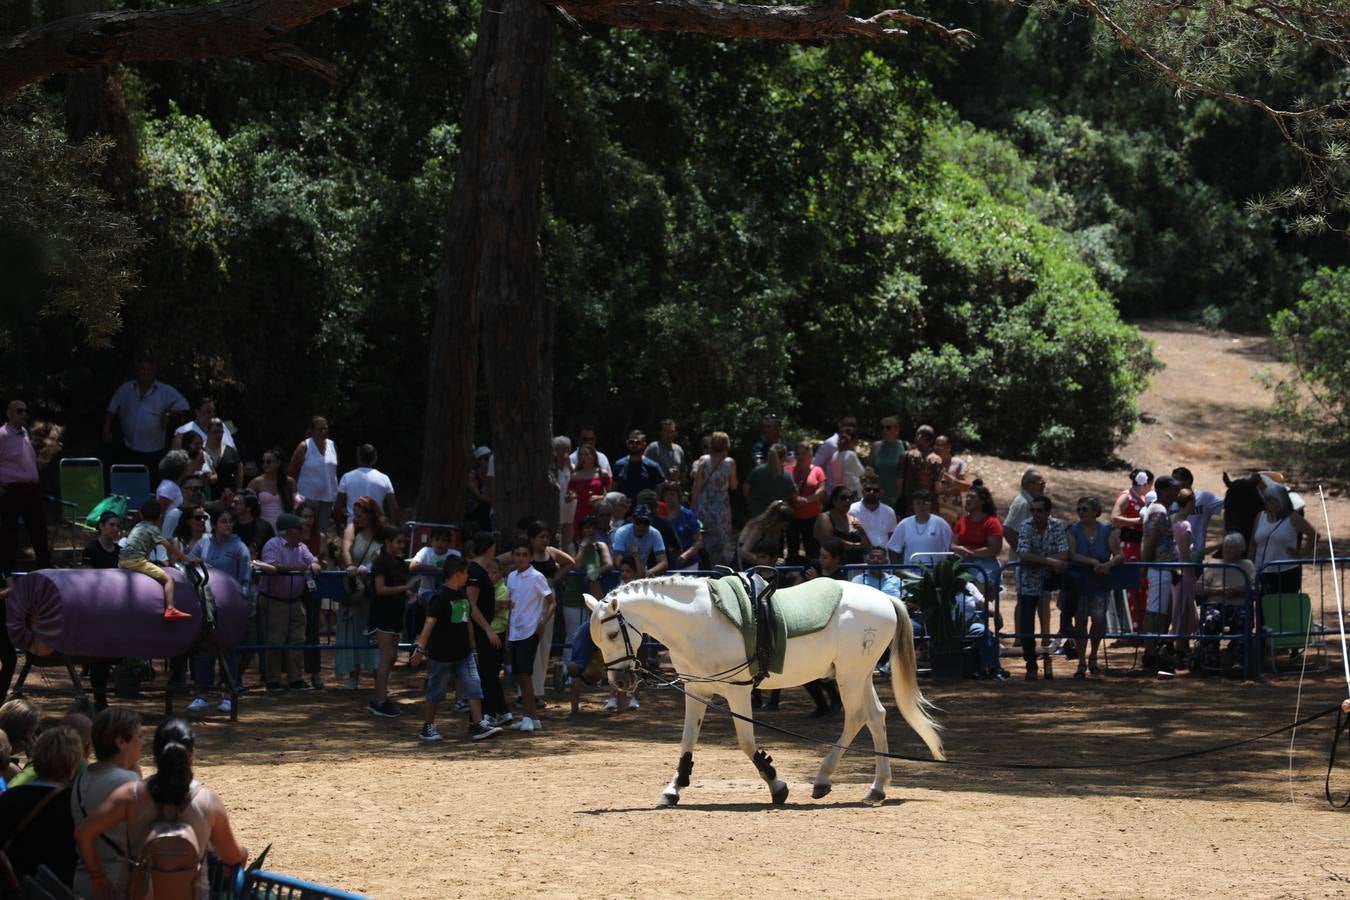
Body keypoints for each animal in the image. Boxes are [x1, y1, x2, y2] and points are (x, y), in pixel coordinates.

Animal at [583, 577, 950, 809]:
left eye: (613, 634)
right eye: (597, 640)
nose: (620, 682)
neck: (699, 623)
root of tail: (884, 598)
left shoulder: (737, 693)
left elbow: (747, 743)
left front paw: (777, 785)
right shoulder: (696, 689)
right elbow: (687, 743)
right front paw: (673, 789)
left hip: (850, 676)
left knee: (858, 717)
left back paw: (823, 778)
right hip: (858, 676)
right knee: (875, 717)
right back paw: (876, 788)